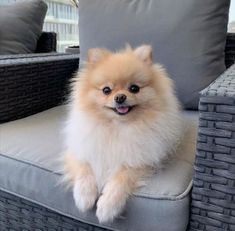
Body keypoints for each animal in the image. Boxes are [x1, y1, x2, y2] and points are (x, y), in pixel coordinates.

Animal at [63, 44, 184, 224]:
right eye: (106, 90)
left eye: (134, 88)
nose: (120, 97)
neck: (117, 128)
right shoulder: (82, 149)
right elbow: (85, 168)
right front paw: (84, 196)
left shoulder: (139, 161)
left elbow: (121, 178)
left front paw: (107, 206)